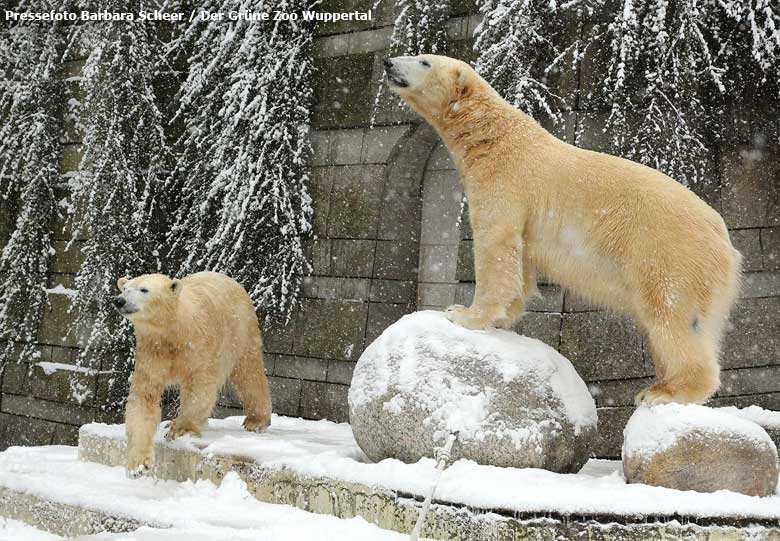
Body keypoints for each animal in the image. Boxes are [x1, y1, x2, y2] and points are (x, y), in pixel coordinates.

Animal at [112, 272, 272, 474]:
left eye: (144, 289)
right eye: (125, 288)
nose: (119, 300)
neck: (174, 329)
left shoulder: (198, 345)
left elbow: (199, 386)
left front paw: (180, 430)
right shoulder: (152, 351)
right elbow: (144, 397)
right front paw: (138, 465)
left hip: (240, 330)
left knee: (249, 373)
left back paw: (256, 421)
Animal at [386, 54, 740, 404]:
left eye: (424, 61)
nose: (389, 63)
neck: (493, 137)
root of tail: (724, 239)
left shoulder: (504, 180)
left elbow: (495, 243)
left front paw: (463, 313)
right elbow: (520, 260)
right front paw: (503, 317)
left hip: (669, 253)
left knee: (672, 314)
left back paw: (666, 393)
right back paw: (658, 384)